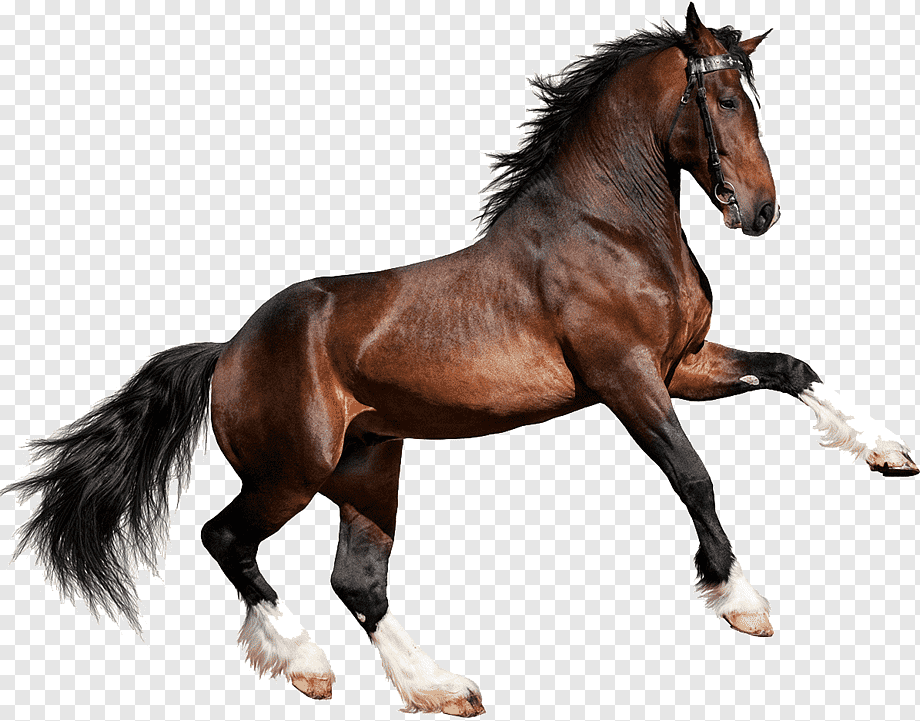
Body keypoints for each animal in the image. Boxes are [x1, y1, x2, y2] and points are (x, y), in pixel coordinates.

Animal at [4, 4, 917, 717]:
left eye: (753, 97)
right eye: (723, 98)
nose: (759, 211)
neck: (612, 229)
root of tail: (228, 349)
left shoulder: (681, 364)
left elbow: (792, 368)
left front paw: (889, 453)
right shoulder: (626, 378)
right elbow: (694, 476)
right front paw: (742, 601)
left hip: (369, 466)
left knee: (358, 581)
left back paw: (438, 686)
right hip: (289, 473)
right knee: (225, 538)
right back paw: (305, 664)